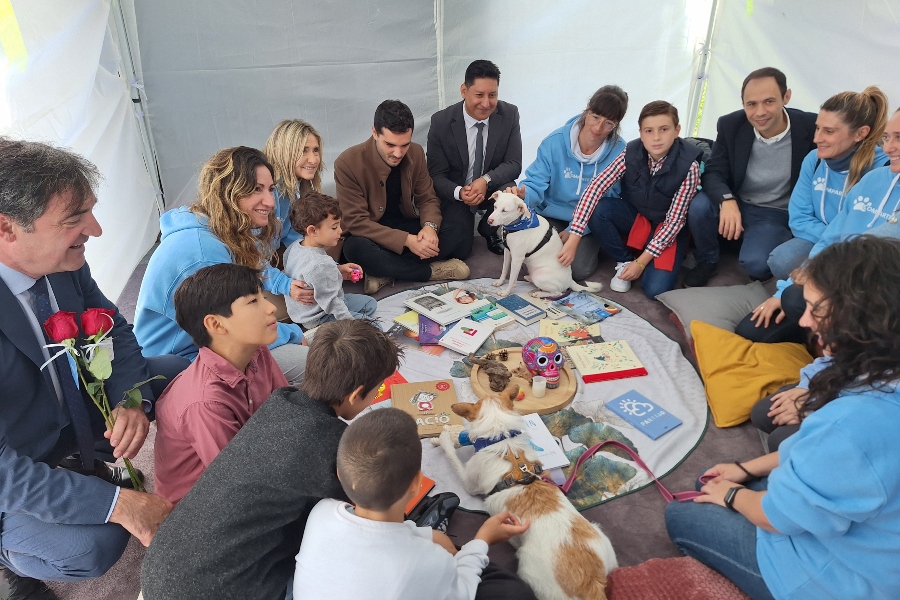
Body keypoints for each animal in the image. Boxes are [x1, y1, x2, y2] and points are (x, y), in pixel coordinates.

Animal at [438, 384, 620, 600]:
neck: (504, 440)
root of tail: (591, 582)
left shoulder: (469, 482)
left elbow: (453, 458)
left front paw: (444, 438)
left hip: (530, 572)